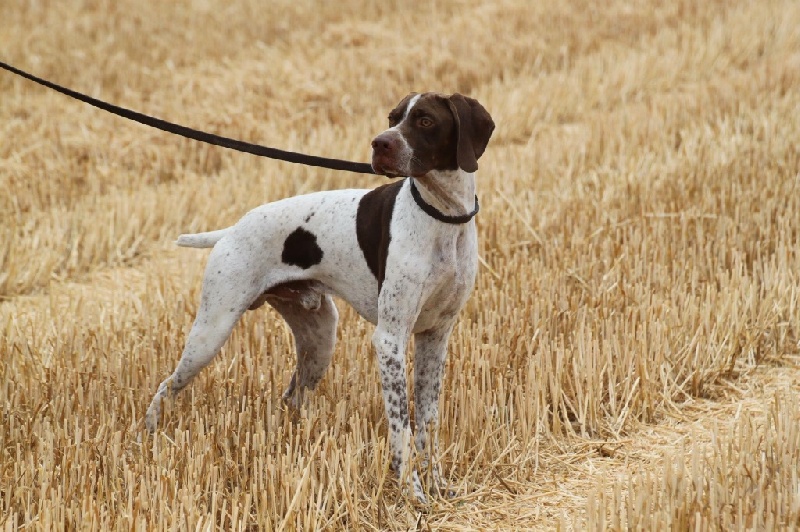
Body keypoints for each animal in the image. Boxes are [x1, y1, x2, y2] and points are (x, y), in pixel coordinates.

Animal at [145, 92, 494, 502]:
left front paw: (437, 485)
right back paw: (148, 437)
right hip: (210, 333)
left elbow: (427, 422)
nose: (380, 144)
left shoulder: (435, 337)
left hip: (319, 341)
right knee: (166, 387)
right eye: (392, 118)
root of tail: (231, 230)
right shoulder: (390, 340)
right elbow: (402, 425)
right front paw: (412, 493)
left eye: (425, 120)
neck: (443, 217)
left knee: (291, 396)